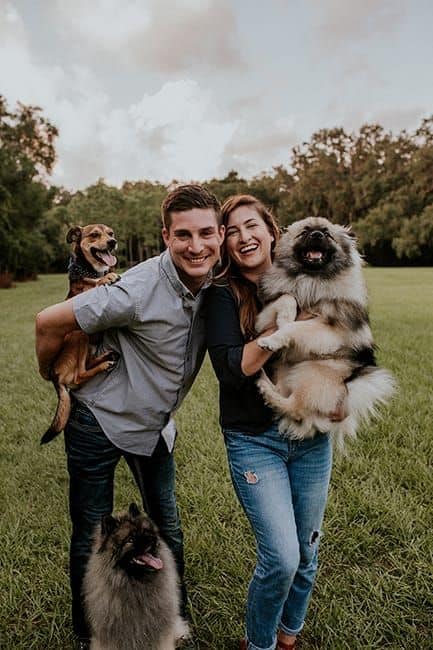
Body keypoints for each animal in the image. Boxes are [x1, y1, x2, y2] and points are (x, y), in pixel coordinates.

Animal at [40, 225, 120, 442]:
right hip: (79, 335)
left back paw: (106, 357)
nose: (112, 242)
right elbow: (95, 285)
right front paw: (106, 278)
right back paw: (104, 364)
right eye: (94, 234)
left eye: (110, 233)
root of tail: (55, 376)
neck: (91, 270)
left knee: (86, 365)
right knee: (79, 376)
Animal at [256, 215, 394, 448]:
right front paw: (284, 319)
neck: (312, 280)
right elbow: (287, 298)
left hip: (311, 370)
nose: (317, 235)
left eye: (327, 234)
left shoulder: (329, 330)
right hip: (289, 370)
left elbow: (295, 327)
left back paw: (266, 388)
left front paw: (274, 338)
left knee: (296, 407)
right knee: (287, 398)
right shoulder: (266, 313)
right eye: (304, 232)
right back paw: (265, 383)